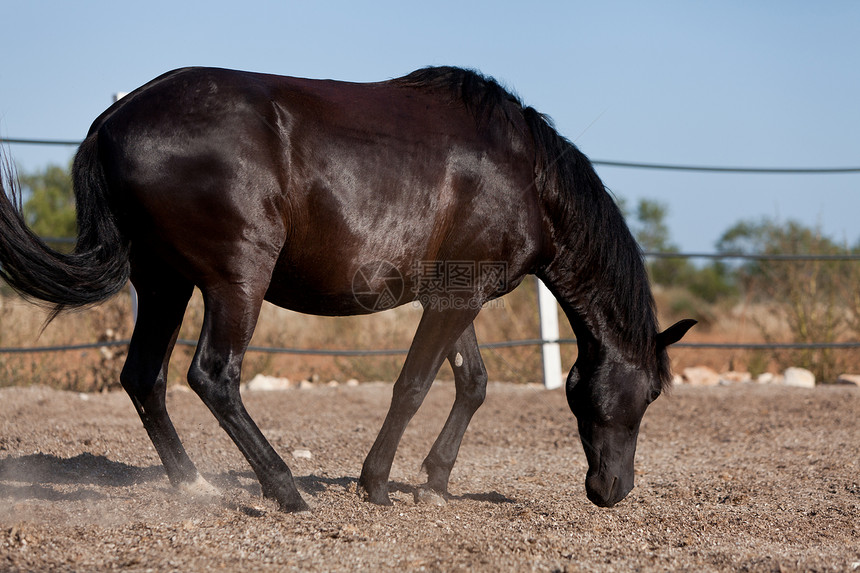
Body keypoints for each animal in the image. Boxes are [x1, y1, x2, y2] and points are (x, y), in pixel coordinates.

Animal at [0, 66, 696, 510]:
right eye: (651, 393)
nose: (613, 491)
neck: (527, 175)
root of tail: (113, 121)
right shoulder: (454, 300)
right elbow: (413, 386)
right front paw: (377, 483)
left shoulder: (454, 295)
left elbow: (472, 383)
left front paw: (435, 482)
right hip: (235, 281)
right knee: (213, 376)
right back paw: (284, 489)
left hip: (164, 283)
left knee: (145, 377)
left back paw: (194, 486)